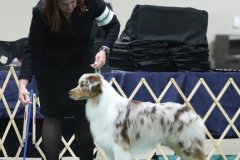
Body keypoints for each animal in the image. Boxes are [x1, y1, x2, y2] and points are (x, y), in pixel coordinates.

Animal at [68, 73, 205, 159]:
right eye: (79, 84)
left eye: (82, 85)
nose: (69, 92)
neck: (99, 102)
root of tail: (189, 110)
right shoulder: (109, 148)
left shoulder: (120, 146)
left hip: (188, 145)